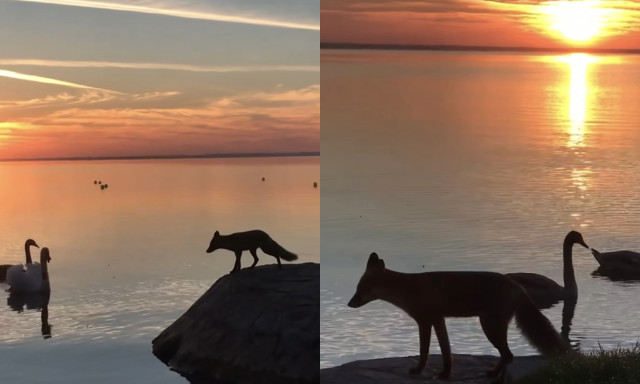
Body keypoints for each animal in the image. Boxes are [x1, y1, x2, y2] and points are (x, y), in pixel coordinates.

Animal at [348, 254, 572, 380]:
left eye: (360, 289)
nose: (349, 304)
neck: (408, 290)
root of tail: (518, 286)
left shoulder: (424, 321)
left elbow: (424, 352)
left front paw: (419, 371)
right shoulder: (438, 320)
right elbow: (446, 352)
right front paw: (445, 374)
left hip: (489, 326)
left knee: (508, 355)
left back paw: (496, 375)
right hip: (493, 327)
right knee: (507, 355)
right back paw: (495, 374)